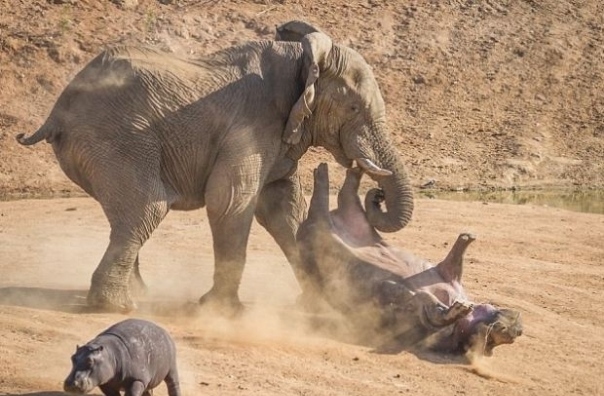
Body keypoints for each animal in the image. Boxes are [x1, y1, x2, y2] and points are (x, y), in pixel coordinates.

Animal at [17, 20, 416, 312]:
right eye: (354, 108)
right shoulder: (251, 123)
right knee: (148, 208)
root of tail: (57, 111)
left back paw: (138, 296)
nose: (374, 190)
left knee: (128, 214)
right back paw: (116, 307)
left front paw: (317, 303)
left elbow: (283, 207)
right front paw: (223, 310)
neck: (304, 59)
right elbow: (231, 200)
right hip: (117, 139)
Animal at [294, 164, 520, 356]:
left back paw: (325, 171)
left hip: (322, 228)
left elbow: (425, 306)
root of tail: (304, 227)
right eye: (502, 337)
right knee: (341, 192)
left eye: (496, 340)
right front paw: (468, 237)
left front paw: (459, 308)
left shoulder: (416, 309)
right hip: (336, 218)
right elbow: (451, 264)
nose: (517, 327)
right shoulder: (445, 273)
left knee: (329, 197)